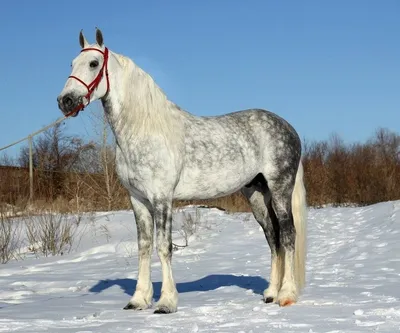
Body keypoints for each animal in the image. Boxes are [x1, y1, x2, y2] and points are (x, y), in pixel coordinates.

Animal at [57, 29, 306, 314]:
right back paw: (270, 293)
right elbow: (144, 246)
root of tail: (288, 127)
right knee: (273, 237)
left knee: (288, 234)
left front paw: (166, 303)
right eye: (71, 64)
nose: (65, 101)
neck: (143, 129)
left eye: (93, 63)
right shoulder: (138, 200)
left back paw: (286, 295)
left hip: (280, 188)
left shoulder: (162, 198)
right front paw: (138, 299)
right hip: (256, 194)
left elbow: (164, 246)